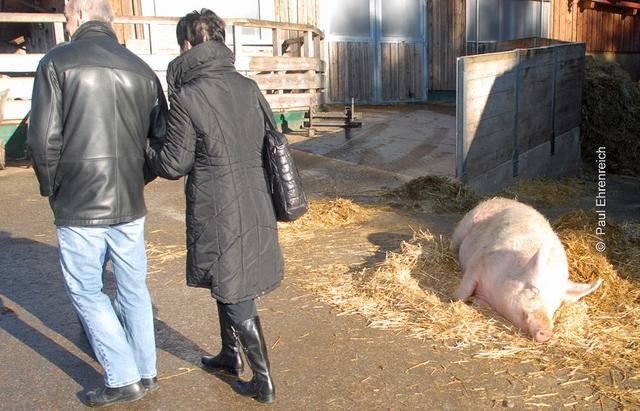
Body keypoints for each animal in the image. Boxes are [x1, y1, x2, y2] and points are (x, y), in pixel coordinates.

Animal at [451, 197, 602, 343]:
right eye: (534, 291)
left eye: (555, 304)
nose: (546, 331)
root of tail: (507, 199)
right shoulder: (479, 261)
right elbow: (463, 292)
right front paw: (454, 299)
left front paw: (476, 302)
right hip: (464, 226)